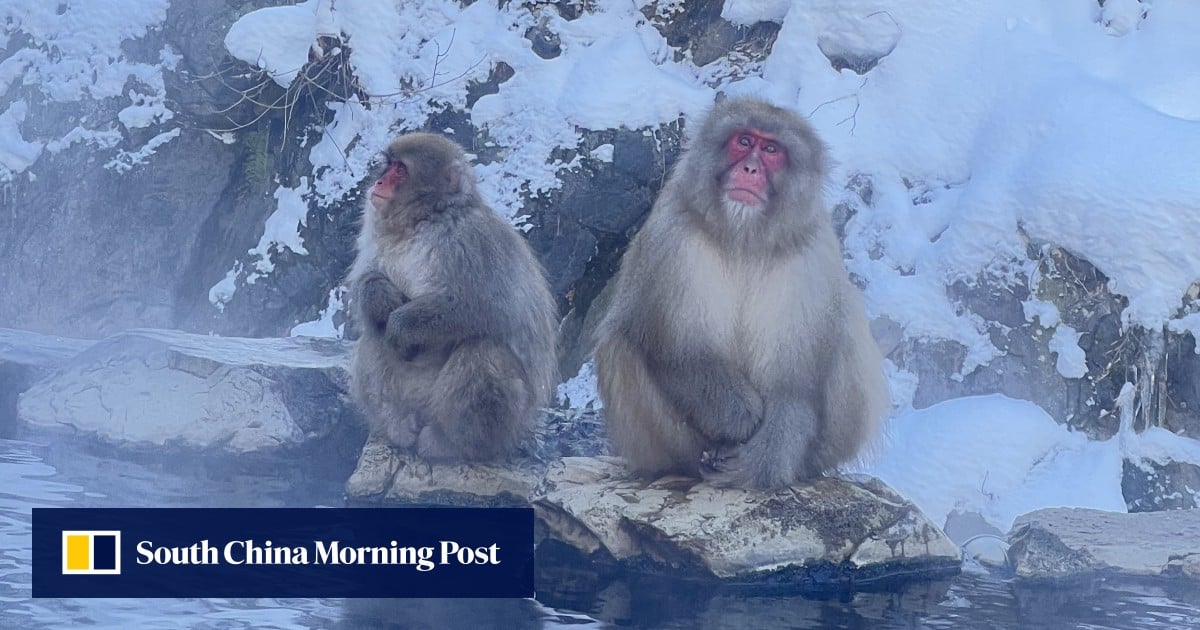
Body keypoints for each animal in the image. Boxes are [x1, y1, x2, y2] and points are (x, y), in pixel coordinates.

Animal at [345, 131, 554, 460]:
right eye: (388, 165)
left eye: (400, 170)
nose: (378, 183)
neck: (422, 221)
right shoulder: (375, 229)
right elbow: (366, 276)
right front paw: (380, 297)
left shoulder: (472, 239)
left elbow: (481, 307)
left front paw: (401, 325)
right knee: (373, 335)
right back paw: (398, 425)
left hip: (509, 422)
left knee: (483, 349)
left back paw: (450, 442)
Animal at [592, 98, 888, 489]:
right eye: (744, 141)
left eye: (772, 150)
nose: (750, 169)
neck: (743, 239)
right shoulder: (670, 237)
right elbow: (679, 352)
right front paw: (739, 417)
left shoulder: (812, 255)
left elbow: (794, 383)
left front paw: (762, 462)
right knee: (618, 344)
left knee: (848, 321)